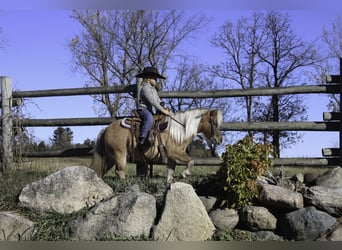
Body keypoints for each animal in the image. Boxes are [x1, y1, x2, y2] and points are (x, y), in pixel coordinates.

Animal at [91, 108, 223, 183]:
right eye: (214, 122)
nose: (220, 140)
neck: (179, 131)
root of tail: (107, 129)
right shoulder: (174, 152)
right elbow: (191, 161)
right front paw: (184, 174)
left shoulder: (171, 158)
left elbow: (170, 173)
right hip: (120, 154)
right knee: (120, 171)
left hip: (110, 157)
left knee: (101, 172)